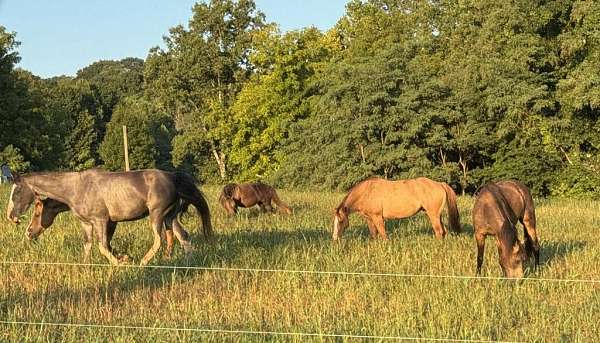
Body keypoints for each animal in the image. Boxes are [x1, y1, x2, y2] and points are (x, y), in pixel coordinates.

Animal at [5, 169, 212, 266]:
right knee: (182, 236)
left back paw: (143, 262)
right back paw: (187, 262)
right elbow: (89, 246)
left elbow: (104, 247)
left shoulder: (102, 221)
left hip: (157, 215)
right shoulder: (88, 224)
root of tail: (173, 177)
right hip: (170, 217)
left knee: (159, 240)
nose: (11, 217)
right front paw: (86, 266)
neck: (77, 189)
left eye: (17, 192)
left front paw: (121, 262)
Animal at [332, 179, 460, 241]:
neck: (366, 192)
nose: (335, 238)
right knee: (444, 231)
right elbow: (373, 235)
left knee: (439, 231)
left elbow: (383, 235)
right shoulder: (370, 219)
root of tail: (440, 184)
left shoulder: (378, 217)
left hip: (433, 215)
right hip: (437, 215)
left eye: (341, 221)